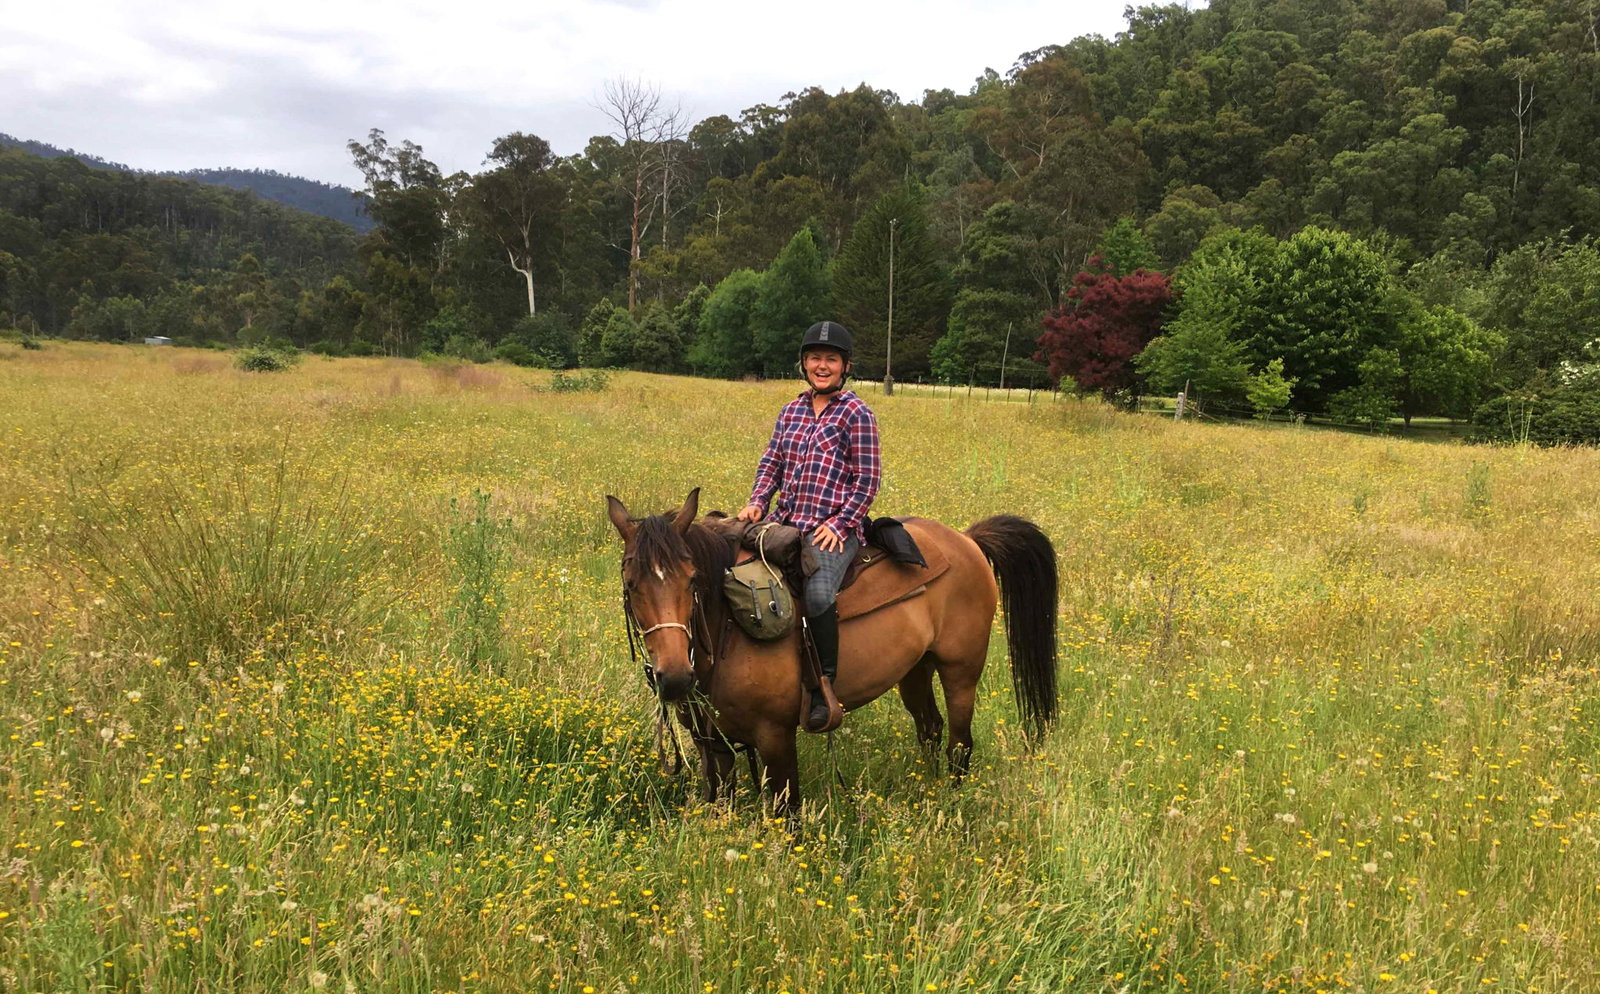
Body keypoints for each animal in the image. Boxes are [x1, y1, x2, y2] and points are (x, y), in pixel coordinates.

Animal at [606, 488, 1058, 817]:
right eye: (630, 584)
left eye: (692, 579)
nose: (674, 678)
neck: (724, 630)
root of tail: (967, 539)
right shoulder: (710, 743)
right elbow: (719, 801)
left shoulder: (775, 737)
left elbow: (787, 815)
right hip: (914, 670)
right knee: (930, 728)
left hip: (960, 672)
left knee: (960, 745)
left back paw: (950, 803)